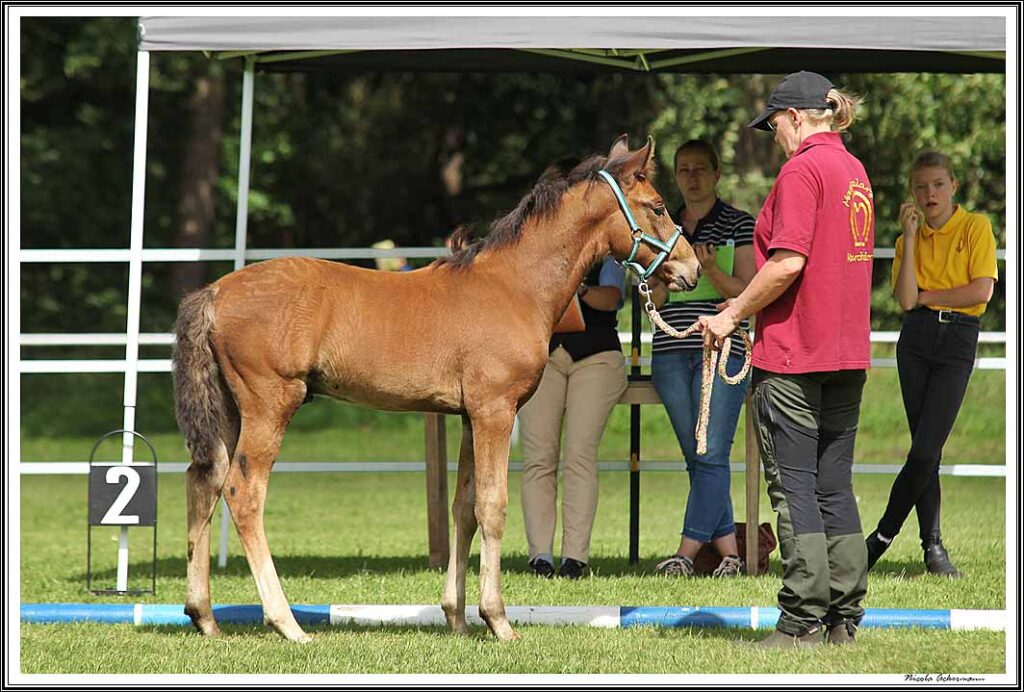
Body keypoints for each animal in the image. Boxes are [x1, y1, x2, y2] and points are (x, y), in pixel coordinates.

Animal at [174, 135, 704, 642]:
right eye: (658, 206)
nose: (690, 269)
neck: (514, 285)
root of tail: (215, 292)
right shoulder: (496, 411)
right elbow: (493, 506)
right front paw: (498, 620)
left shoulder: (471, 416)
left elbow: (464, 508)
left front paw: (457, 617)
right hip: (271, 404)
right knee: (242, 491)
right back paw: (287, 623)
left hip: (230, 410)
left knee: (204, 481)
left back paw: (205, 617)